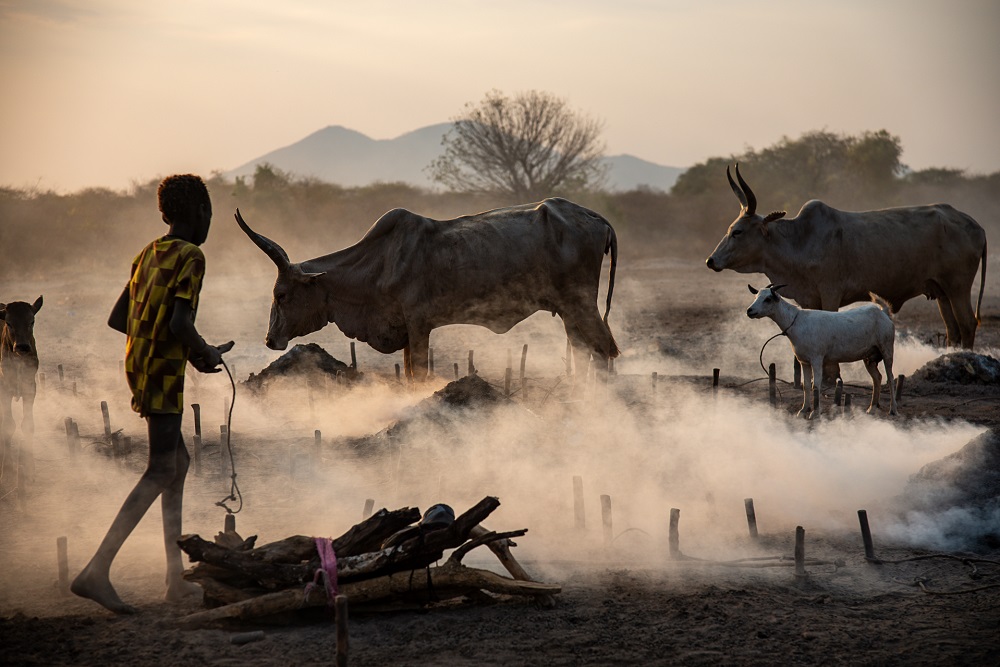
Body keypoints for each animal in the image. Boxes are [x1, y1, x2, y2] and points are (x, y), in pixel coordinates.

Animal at [238, 197, 620, 380]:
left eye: (281, 295)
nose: (270, 340)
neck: (380, 262)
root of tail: (597, 218)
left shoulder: (420, 325)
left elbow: (419, 374)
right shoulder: (407, 330)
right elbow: (408, 374)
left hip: (581, 305)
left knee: (603, 351)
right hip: (569, 312)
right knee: (583, 351)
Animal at [708, 165, 988, 350]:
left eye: (738, 231)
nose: (711, 261)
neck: (800, 240)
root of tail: (976, 226)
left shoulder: (831, 293)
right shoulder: (809, 298)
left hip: (958, 286)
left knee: (967, 324)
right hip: (941, 291)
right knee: (952, 330)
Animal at [744, 284, 900, 420]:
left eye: (768, 299)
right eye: (756, 296)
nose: (749, 311)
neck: (796, 321)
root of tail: (883, 313)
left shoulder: (817, 359)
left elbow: (816, 386)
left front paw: (815, 413)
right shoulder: (804, 361)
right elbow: (806, 386)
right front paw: (803, 410)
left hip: (887, 348)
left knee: (890, 378)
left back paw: (893, 410)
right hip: (869, 357)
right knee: (877, 378)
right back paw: (871, 408)